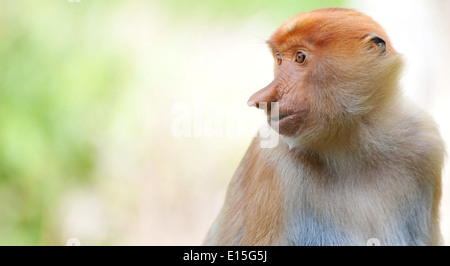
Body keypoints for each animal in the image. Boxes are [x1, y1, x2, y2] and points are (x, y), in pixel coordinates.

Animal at [206, 7, 444, 245]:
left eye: (300, 57)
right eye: (279, 59)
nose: (261, 99)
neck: (356, 148)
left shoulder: (425, 145)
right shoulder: (270, 162)